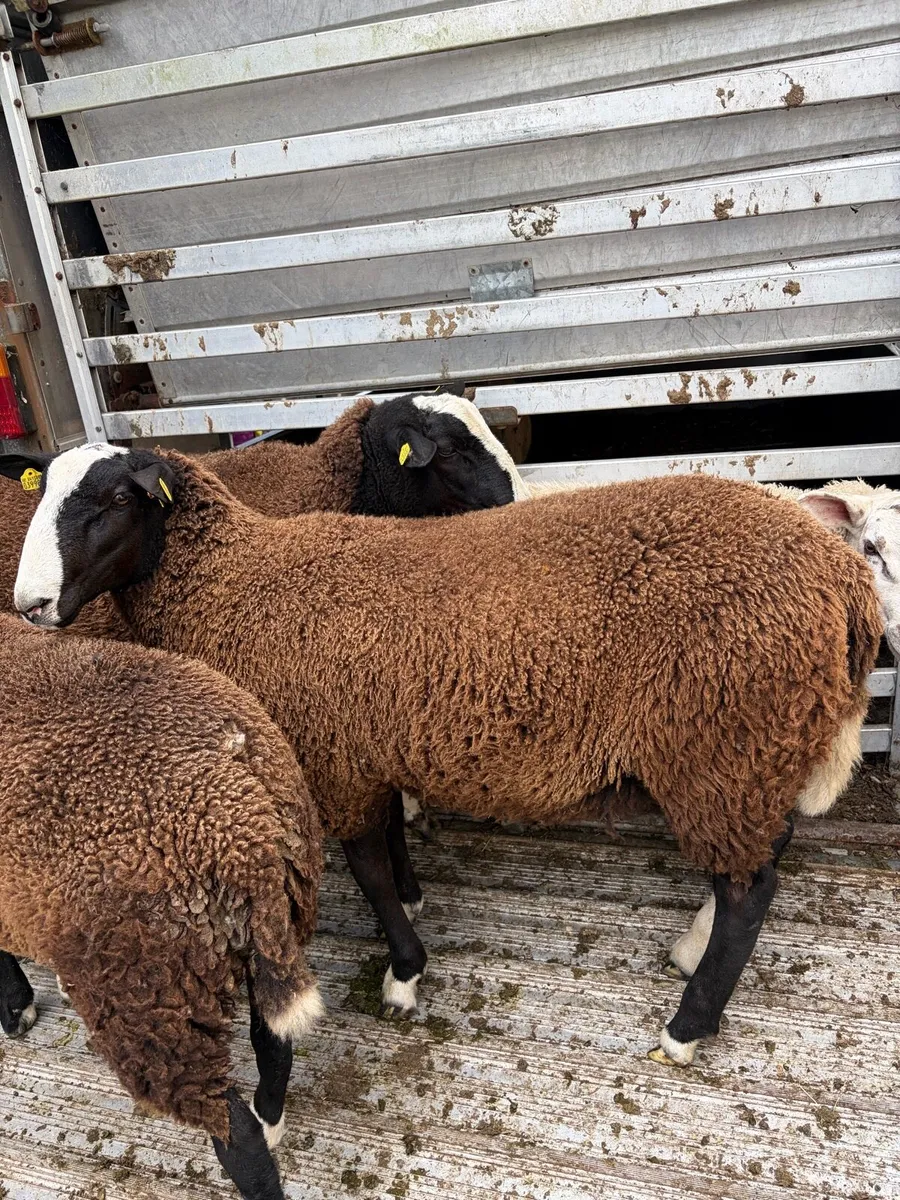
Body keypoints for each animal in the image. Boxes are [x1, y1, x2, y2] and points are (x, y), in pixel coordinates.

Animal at [0, 612, 323, 1200]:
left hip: (149, 996)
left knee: (234, 1134)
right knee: (274, 1046)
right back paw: (271, 1116)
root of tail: (246, 824)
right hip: (278, 924)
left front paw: (14, 1009)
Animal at [5, 442, 881, 1068]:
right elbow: (390, 843)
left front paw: (403, 972)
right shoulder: (366, 744)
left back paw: (687, 1026)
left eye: (116, 499)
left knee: (751, 893)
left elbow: (364, 867)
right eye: (42, 495)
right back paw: (693, 948)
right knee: (759, 858)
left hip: (718, 743)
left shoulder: (331, 756)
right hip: (752, 747)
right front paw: (415, 901)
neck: (234, 581)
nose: (31, 605)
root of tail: (841, 575)